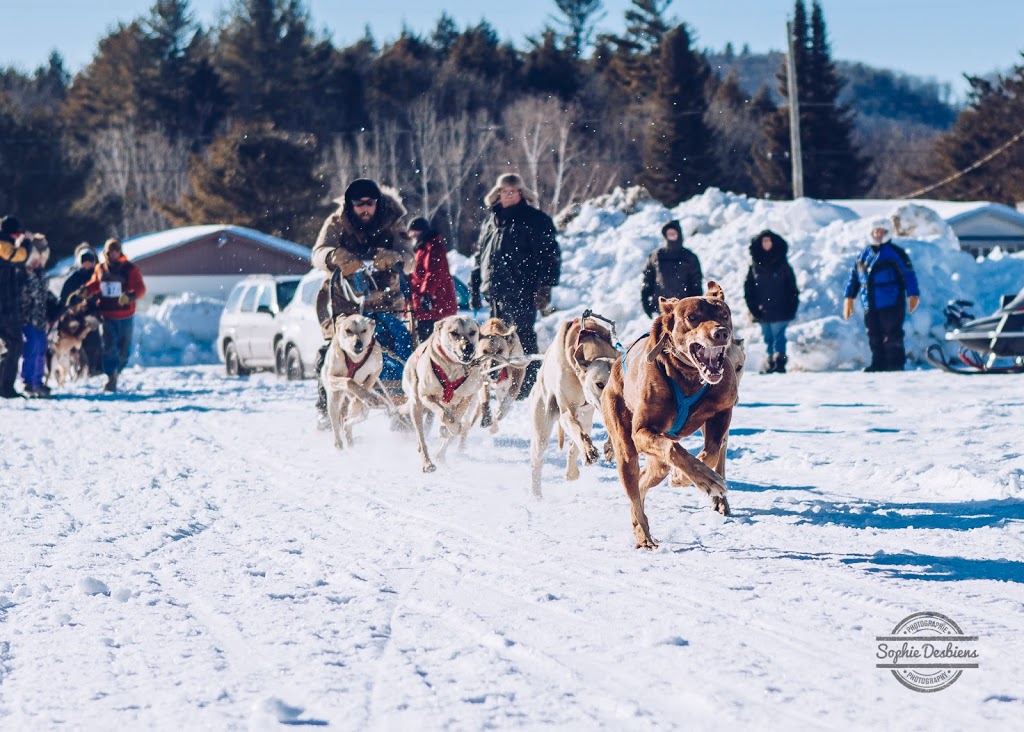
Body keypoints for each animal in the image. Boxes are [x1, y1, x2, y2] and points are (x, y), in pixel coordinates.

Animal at [319, 311, 387, 450]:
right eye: (348, 330)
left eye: (364, 330)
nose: (358, 344)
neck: (355, 358)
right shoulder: (332, 376)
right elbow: (349, 381)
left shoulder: (376, 371)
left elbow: (365, 386)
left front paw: (361, 399)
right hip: (333, 400)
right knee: (336, 425)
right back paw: (340, 446)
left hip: (363, 410)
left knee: (348, 421)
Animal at [399, 311, 483, 472]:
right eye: (454, 333)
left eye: (472, 332)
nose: (468, 347)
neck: (453, 368)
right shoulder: (425, 395)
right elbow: (444, 415)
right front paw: (450, 425)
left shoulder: (467, 396)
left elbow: (456, 418)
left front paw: (452, 428)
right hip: (416, 405)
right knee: (422, 437)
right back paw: (427, 462)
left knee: (457, 428)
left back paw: (441, 453)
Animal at [532, 315, 618, 497]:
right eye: (599, 384)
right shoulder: (566, 412)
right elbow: (577, 431)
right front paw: (589, 452)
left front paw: (610, 447)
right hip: (542, 426)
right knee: (537, 461)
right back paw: (536, 496)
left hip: (585, 418)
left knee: (577, 440)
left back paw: (571, 471)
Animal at [598, 282, 737, 548]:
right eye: (692, 317)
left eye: (724, 315)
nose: (721, 333)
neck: (689, 377)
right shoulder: (641, 432)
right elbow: (674, 449)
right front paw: (704, 479)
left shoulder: (723, 411)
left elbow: (713, 450)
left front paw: (685, 476)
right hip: (624, 443)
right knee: (634, 491)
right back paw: (643, 536)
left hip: (657, 464)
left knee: (643, 482)